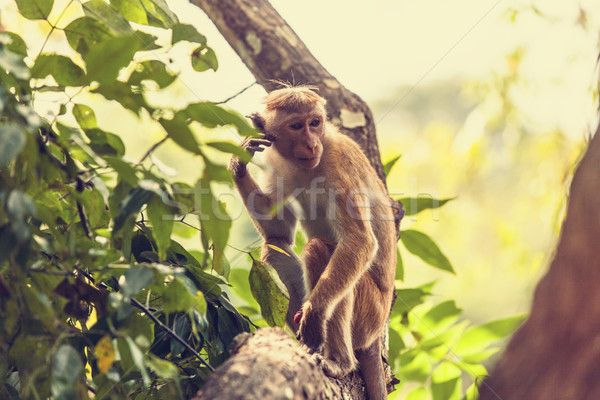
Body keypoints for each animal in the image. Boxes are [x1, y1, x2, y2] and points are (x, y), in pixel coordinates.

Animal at [227, 85, 396, 400]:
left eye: (314, 123)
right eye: (296, 126)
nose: (311, 144)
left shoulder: (339, 164)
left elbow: (359, 240)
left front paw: (316, 315)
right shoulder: (276, 164)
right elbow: (279, 232)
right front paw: (239, 161)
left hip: (369, 314)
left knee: (320, 250)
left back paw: (339, 361)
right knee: (274, 249)